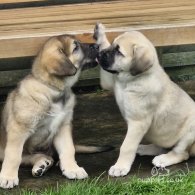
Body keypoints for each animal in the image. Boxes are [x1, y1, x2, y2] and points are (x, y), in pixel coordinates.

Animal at [0, 35, 100, 189]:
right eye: (75, 47)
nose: (97, 46)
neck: (53, 90)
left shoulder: (62, 126)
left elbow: (68, 149)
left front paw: (72, 168)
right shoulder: (19, 130)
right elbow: (13, 156)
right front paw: (8, 177)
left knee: (48, 156)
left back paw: (45, 164)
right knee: (25, 157)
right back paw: (41, 164)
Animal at [95, 22, 195, 177]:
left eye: (119, 51)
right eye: (112, 45)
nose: (98, 54)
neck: (129, 80)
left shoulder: (138, 123)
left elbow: (127, 146)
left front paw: (120, 167)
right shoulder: (108, 81)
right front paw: (100, 32)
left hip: (190, 131)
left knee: (181, 153)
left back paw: (163, 159)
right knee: (161, 146)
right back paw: (144, 148)